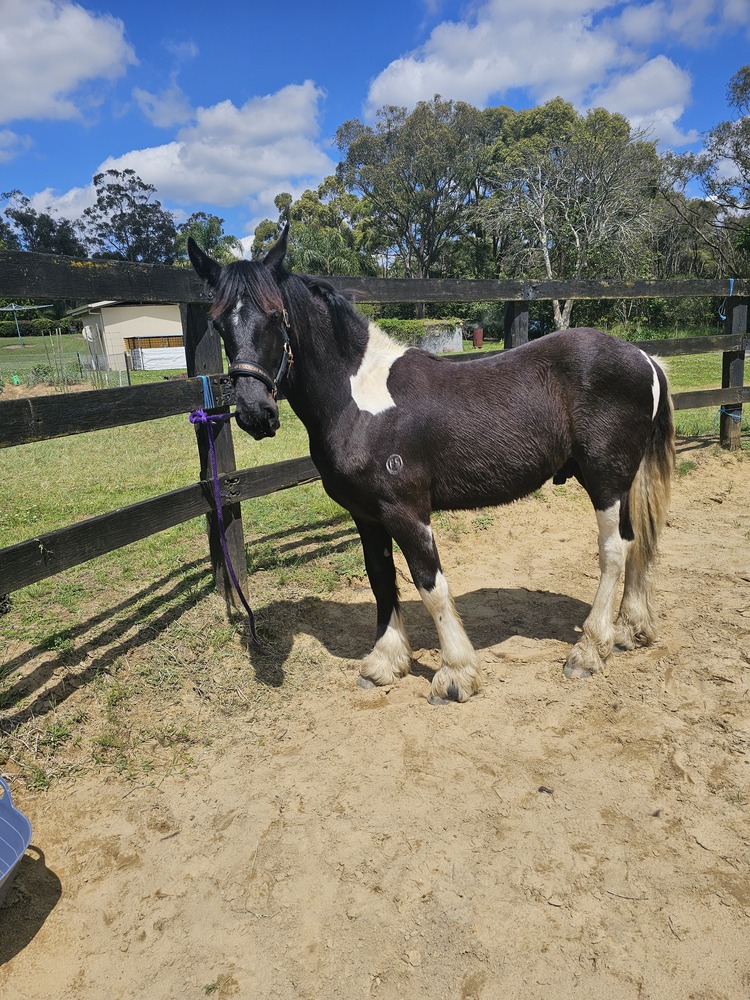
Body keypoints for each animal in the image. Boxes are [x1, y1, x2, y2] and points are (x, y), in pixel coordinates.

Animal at [188, 225, 675, 705]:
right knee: (636, 541)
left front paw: (455, 675)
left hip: (605, 480)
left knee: (613, 550)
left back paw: (588, 651)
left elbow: (430, 584)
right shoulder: (367, 515)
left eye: (276, 316)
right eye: (217, 321)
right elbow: (381, 578)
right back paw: (629, 631)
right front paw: (385, 664)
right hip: (623, 480)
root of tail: (645, 359)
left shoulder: (406, 512)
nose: (255, 413)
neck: (359, 400)